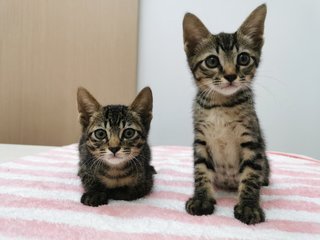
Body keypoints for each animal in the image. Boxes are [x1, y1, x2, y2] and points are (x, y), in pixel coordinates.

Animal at [182, 4, 270, 225]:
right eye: (212, 61)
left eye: (243, 58)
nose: (230, 75)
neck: (221, 106)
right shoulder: (201, 140)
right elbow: (201, 170)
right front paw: (201, 198)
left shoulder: (251, 140)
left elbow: (251, 175)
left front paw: (249, 206)